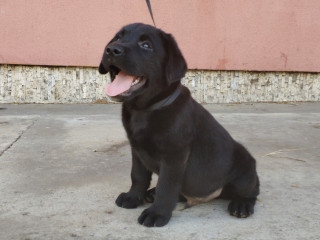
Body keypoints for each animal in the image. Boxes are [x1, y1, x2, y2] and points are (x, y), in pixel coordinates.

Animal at [99, 23, 258, 227]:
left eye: (146, 45)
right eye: (118, 38)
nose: (112, 49)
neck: (144, 110)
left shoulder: (174, 156)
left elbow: (166, 186)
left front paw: (157, 213)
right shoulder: (137, 150)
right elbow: (138, 176)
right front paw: (133, 197)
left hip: (244, 167)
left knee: (253, 190)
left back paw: (242, 205)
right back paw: (151, 194)